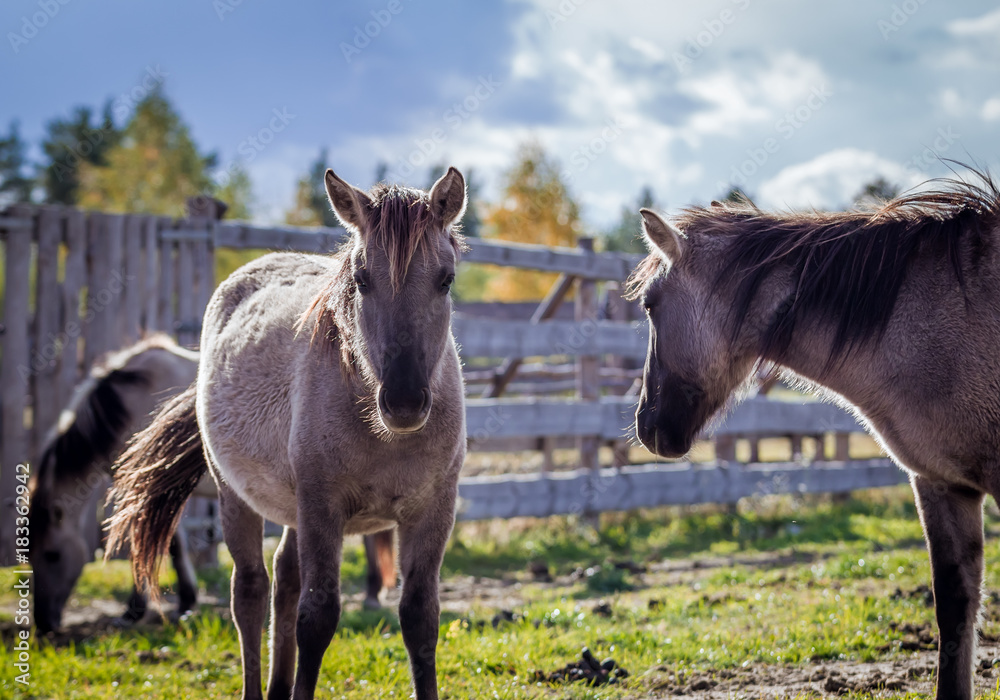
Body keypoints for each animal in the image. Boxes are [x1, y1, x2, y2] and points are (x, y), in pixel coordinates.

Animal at [108, 166, 469, 700]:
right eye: (362, 280)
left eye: (445, 280)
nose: (404, 401)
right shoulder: (322, 508)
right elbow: (317, 618)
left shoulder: (432, 512)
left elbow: (420, 620)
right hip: (234, 495)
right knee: (251, 592)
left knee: (284, 579)